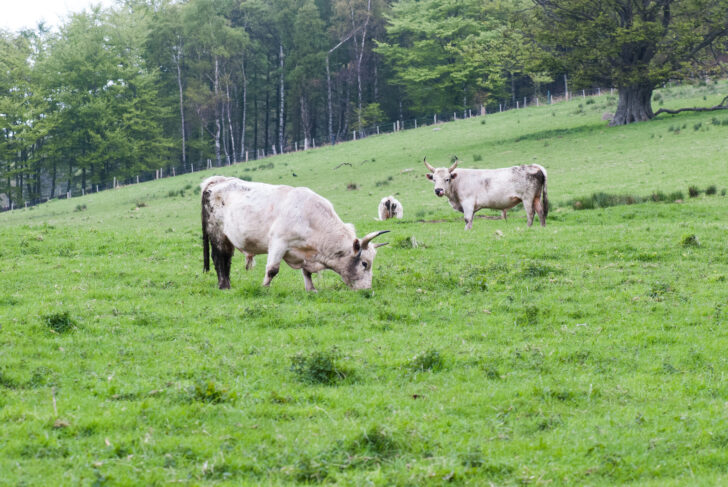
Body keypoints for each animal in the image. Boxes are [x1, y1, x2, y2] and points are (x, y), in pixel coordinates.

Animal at [199, 178, 392, 294]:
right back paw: (224, 286)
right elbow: (272, 269)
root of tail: (217, 180)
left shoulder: (304, 252)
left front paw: (311, 289)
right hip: (217, 235)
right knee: (219, 259)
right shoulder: (279, 242)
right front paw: (265, 288)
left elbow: (306, 272)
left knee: (226, 260)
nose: (367, 289)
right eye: (364, 263)